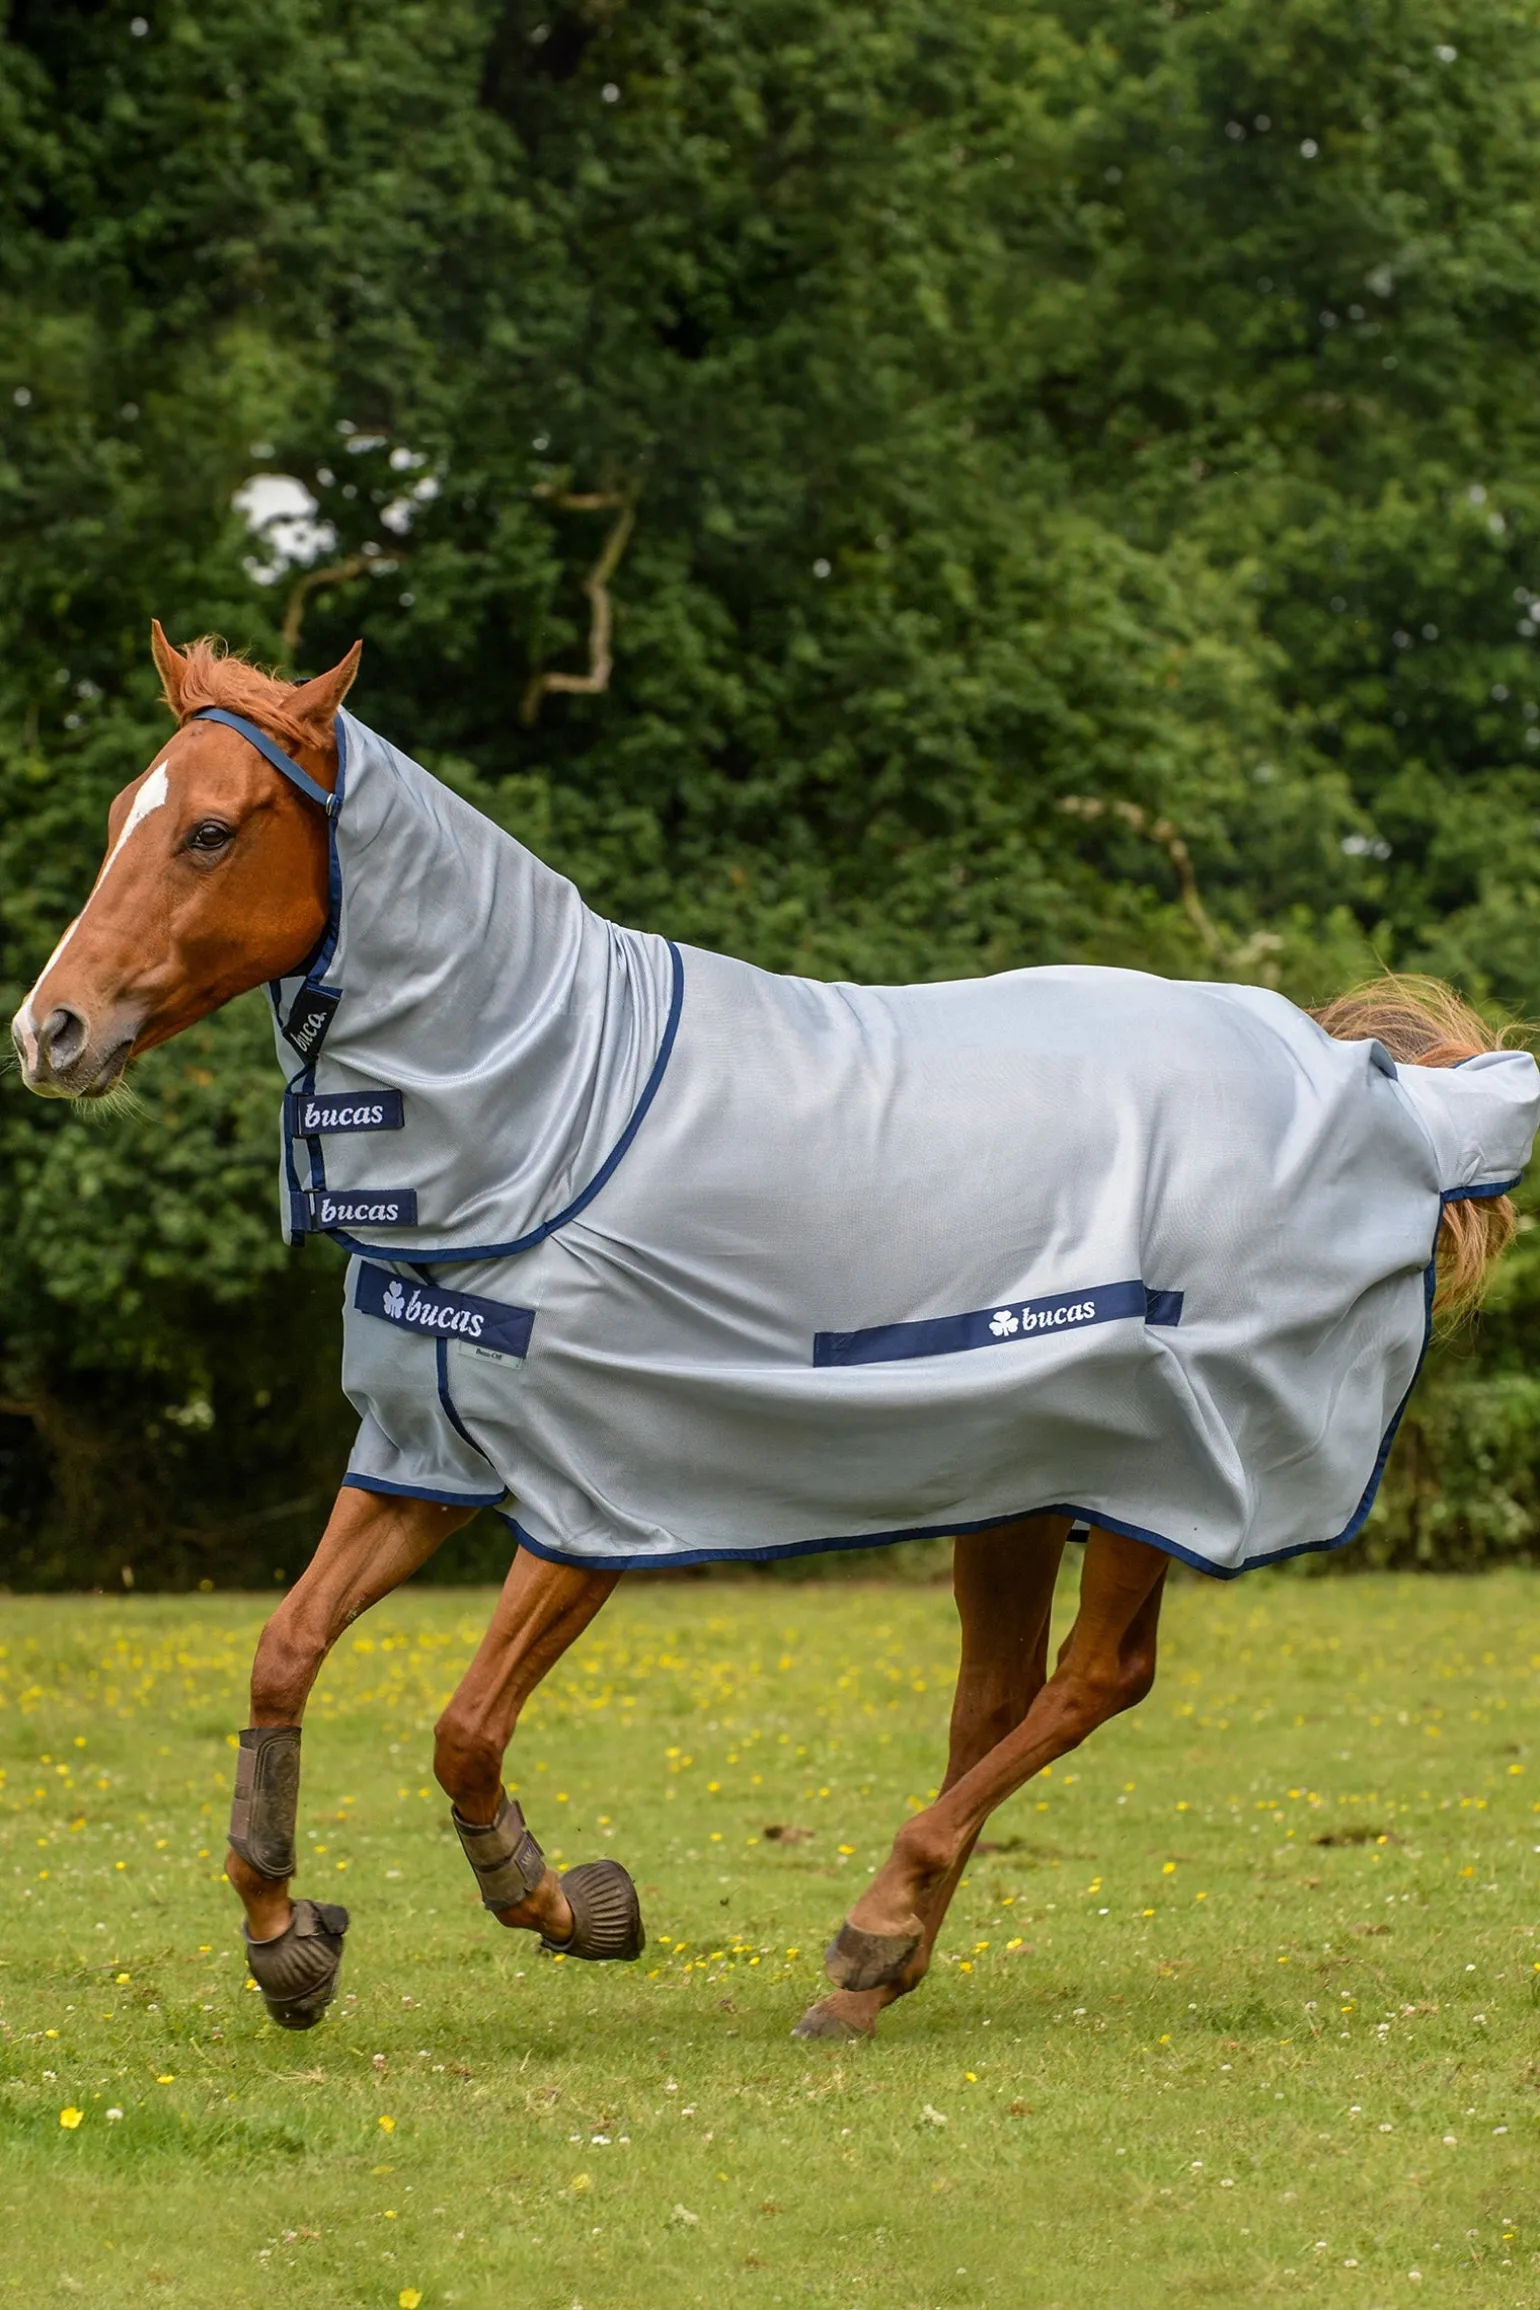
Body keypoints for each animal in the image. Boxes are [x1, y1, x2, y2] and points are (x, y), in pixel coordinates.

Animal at [11, 625, 1536, 2043]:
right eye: (123, 814)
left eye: (211, 831)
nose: (49, 1031)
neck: (557, 1112)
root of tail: (1380, 1086)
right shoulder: (423, 1458)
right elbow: (280, 1652)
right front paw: (287, 1937)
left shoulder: (594, 1494)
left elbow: (463, 1730)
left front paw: (566, 1903)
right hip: (1014, 1478)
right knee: (996, 1696)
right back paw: (880, 1967)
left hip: (1157, 1474)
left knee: (1096, 1678)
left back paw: (873, 1927)